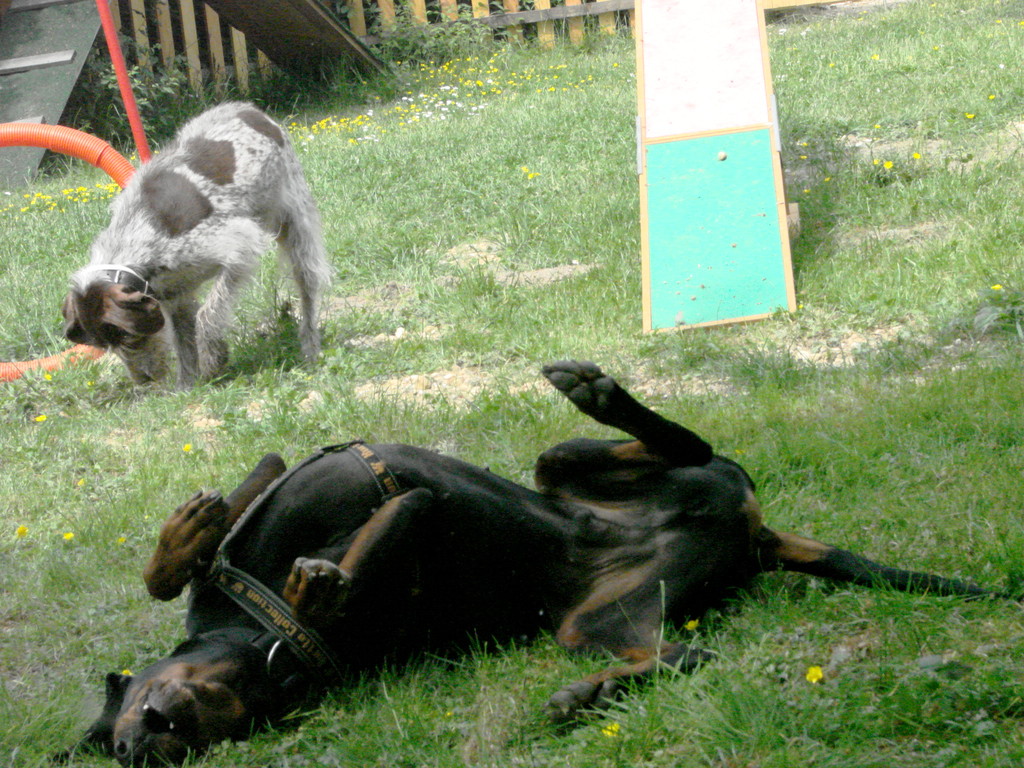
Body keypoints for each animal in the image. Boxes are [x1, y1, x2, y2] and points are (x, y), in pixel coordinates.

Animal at [61, 102, 330, 388]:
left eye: (128, 336)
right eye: (106, 346)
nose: (143, 381)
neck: (137, 240)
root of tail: (250, 109)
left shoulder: (239, 246)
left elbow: (208, 314)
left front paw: (213, 358)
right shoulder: (175, 298)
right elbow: (183, 344)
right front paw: (188, 386)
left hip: (296, 226)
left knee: (308, 287)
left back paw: (310, 347)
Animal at [69, 360, 1003, 765]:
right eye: (116, 754)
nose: (146, 745)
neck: (257, 640)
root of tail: (757, 533)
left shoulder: (276, 492)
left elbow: (201, 542)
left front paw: (204, 542)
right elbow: (377, 545)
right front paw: (321, 584)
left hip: (573, 469)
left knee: (681, 443)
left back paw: (596, 390)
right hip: (601, 618)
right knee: (686, 651)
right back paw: (581, 696)